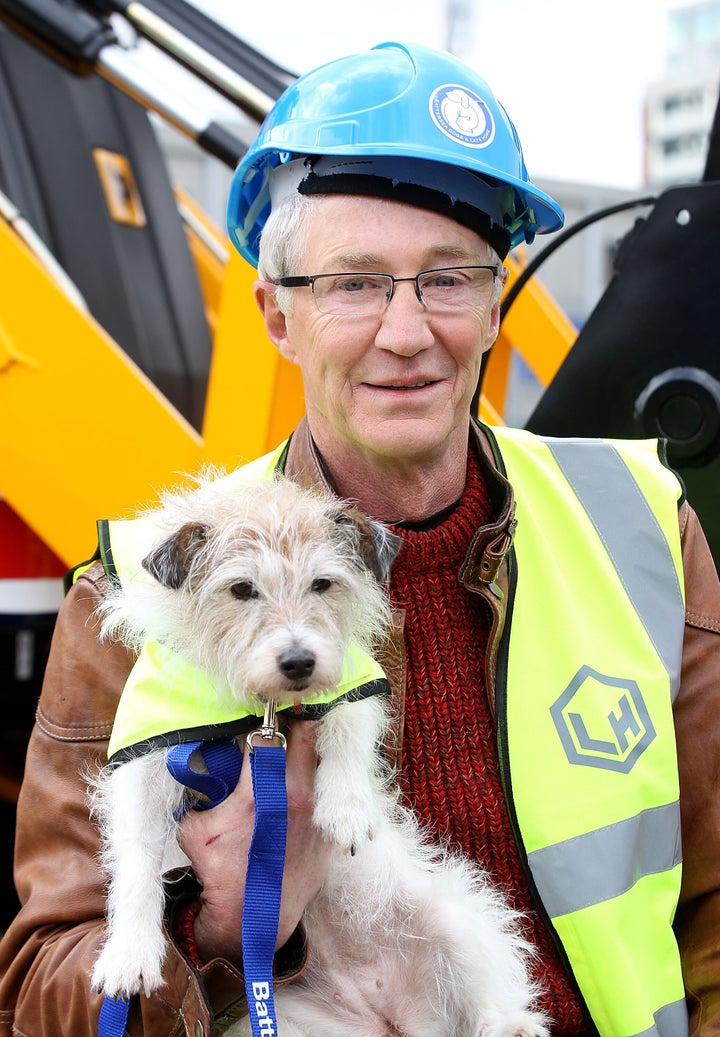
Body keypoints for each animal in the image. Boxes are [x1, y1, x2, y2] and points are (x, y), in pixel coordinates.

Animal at [91, 474, 551, 1032]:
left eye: (322, 584)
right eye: (241, 589)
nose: (298, 662)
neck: (266, 712)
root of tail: (386, 1017)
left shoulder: (354, 679)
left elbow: (347, 727)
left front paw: (346, 809)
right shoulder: (145, 762)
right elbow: (137, 855)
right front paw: (129, 954)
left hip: (457, 921)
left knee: (488, 979)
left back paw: (510, 1023)